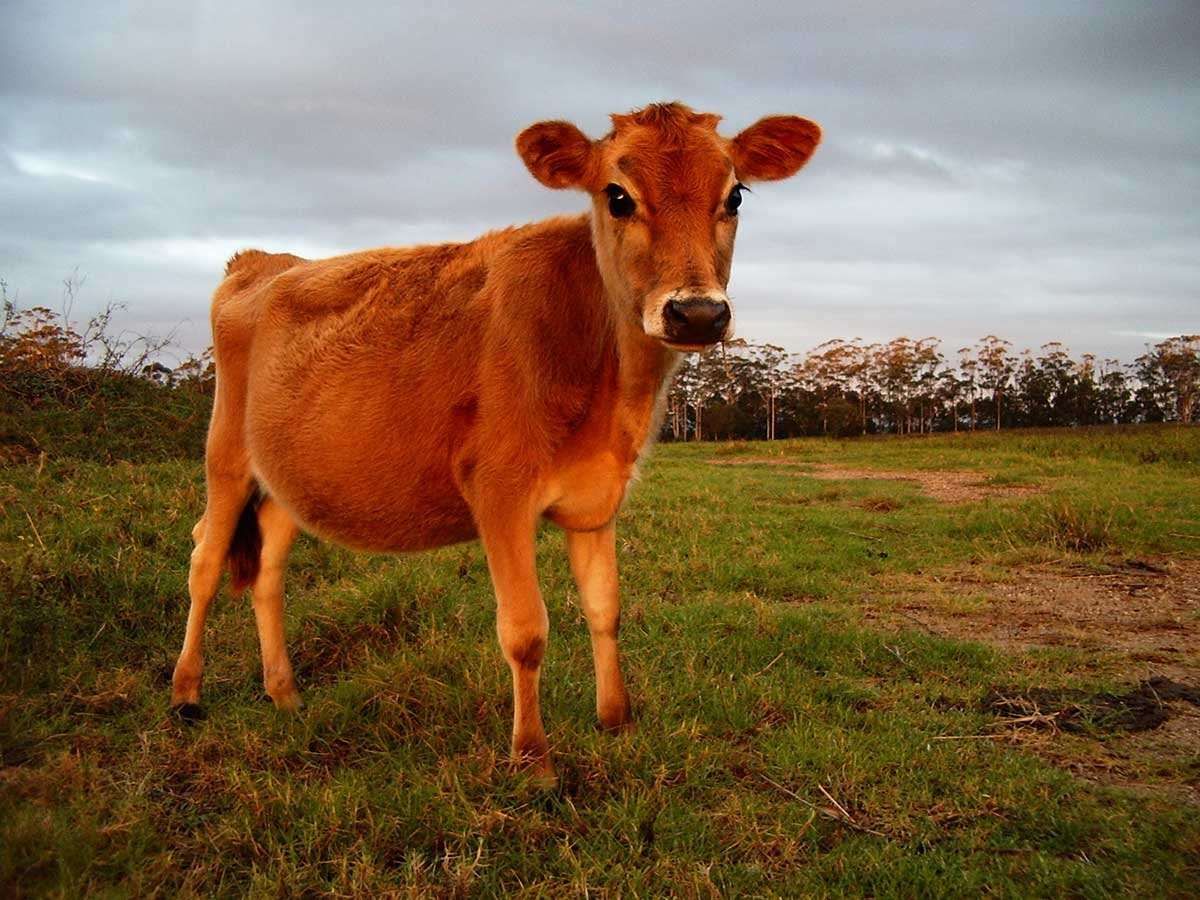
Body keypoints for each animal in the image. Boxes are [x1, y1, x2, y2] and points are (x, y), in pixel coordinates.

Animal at [174, 100, 820, 782]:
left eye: (735, 195)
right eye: (617, 196)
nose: (696, 313)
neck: (610, 388)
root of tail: (261, 261)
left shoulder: (597, 499)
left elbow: (606, 608)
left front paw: (616, 721)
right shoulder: (499, 491)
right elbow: (526, 630)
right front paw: (533, 760)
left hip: (287, 480)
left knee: (268, 568)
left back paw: (286, 694)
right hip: (225, 457)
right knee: (205, 561)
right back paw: (186, 694)